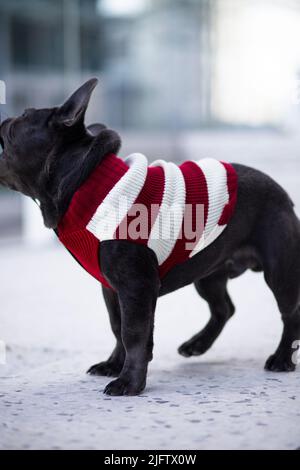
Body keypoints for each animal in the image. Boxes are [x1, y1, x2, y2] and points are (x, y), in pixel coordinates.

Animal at [0, 79, 300, 394]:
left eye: (22, 118)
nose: (6, 118)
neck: (84, 182)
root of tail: (283, 193)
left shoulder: (135, 286)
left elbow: (132, 333)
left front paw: (130, 382)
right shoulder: (112, 288)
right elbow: (117, 327)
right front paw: (114, 365)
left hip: (279, 271)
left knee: (290, 313)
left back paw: (282, 358)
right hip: (208, 274)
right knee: (223, 308)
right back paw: (197, 344)